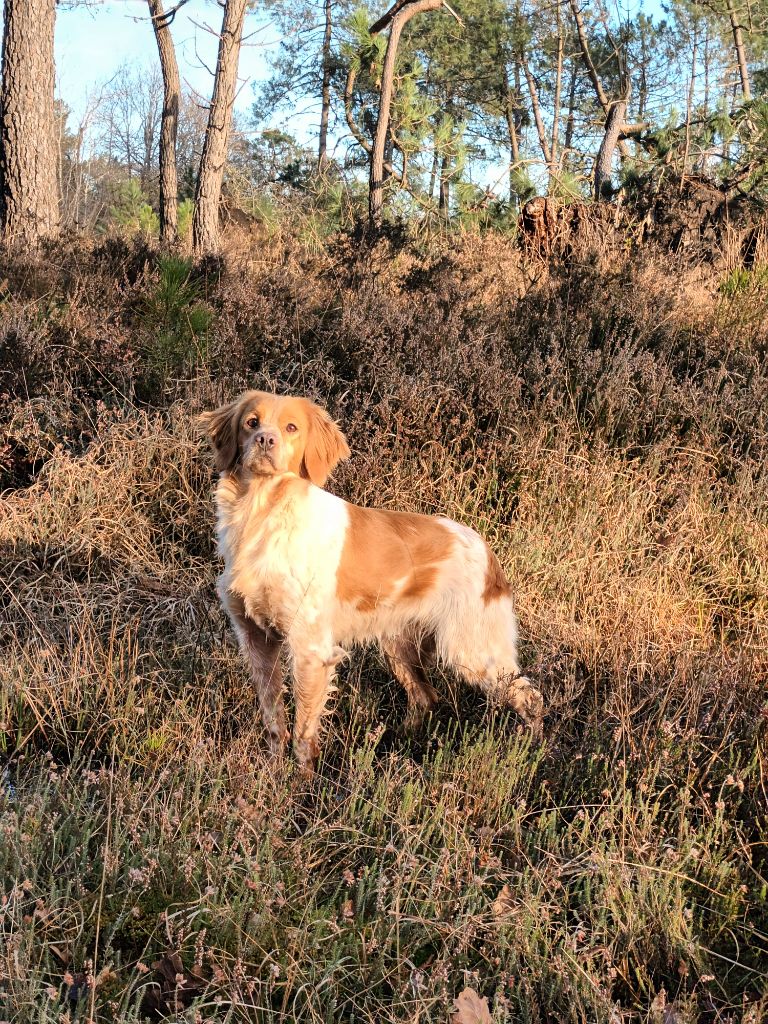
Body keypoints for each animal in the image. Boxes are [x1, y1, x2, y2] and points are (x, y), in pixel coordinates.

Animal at [201, 391, 544, 770]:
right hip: (399, 645)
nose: (265, 440)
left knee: (530, 696)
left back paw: (531, 751)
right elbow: (274, 719)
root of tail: (486, 550)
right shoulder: (256, 639)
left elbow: (304, 733)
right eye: (252, 422)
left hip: (473, 651)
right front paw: (273, 771)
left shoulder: (310, 649)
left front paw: (300, 780)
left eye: (291, 427)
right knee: (426, 696)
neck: (262, 514)